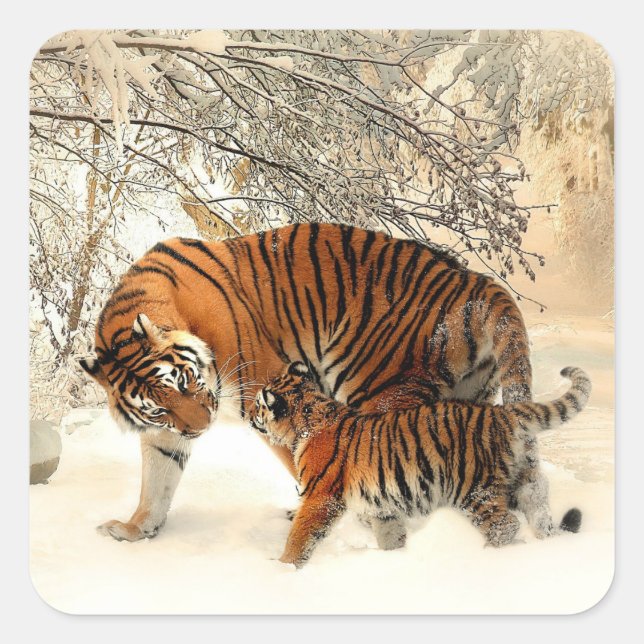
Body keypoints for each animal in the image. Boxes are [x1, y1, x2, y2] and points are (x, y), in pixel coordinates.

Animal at [80, 222, 548, 543]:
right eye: (159, 407)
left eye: (184, 381)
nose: (201, 428)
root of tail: (475, 281)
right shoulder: (165, 432)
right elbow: (156, 481)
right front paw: (135, 529)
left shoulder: (266, 392)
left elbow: (306, 462)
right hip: (469, 401)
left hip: (380, 391)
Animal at [250, 361, 591, 568]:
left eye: (257, 404)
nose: (250, 415)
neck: (308, 419)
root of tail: (501, 413)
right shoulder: (382, 506)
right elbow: (390, 535)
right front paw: (395, 559)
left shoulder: (320, 497)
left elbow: (300, 535)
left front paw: (283, 569)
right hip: (520, 480)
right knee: (538, 506)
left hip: (474, 489)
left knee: (504, 525)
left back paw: (487, 557)